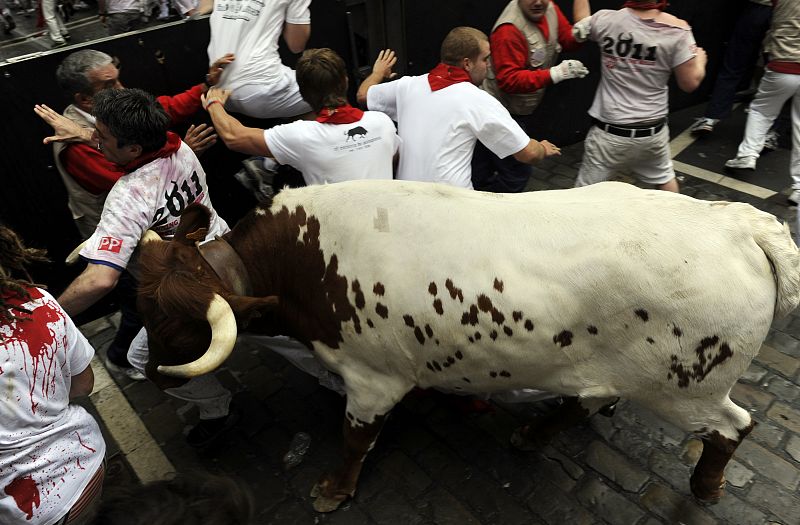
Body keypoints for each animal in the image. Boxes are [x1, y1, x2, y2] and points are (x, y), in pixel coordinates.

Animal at [134, 180, 796, 512]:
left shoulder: (371, 379)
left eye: (174, 325)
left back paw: (706, 487)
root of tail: (734, 222)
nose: (148, 371)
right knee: (583, 400)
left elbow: (353, 440)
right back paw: (533, 433)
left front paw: (334, 490)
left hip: (687, 387)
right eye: (138, 301)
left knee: (734, 427)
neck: (304, 260)